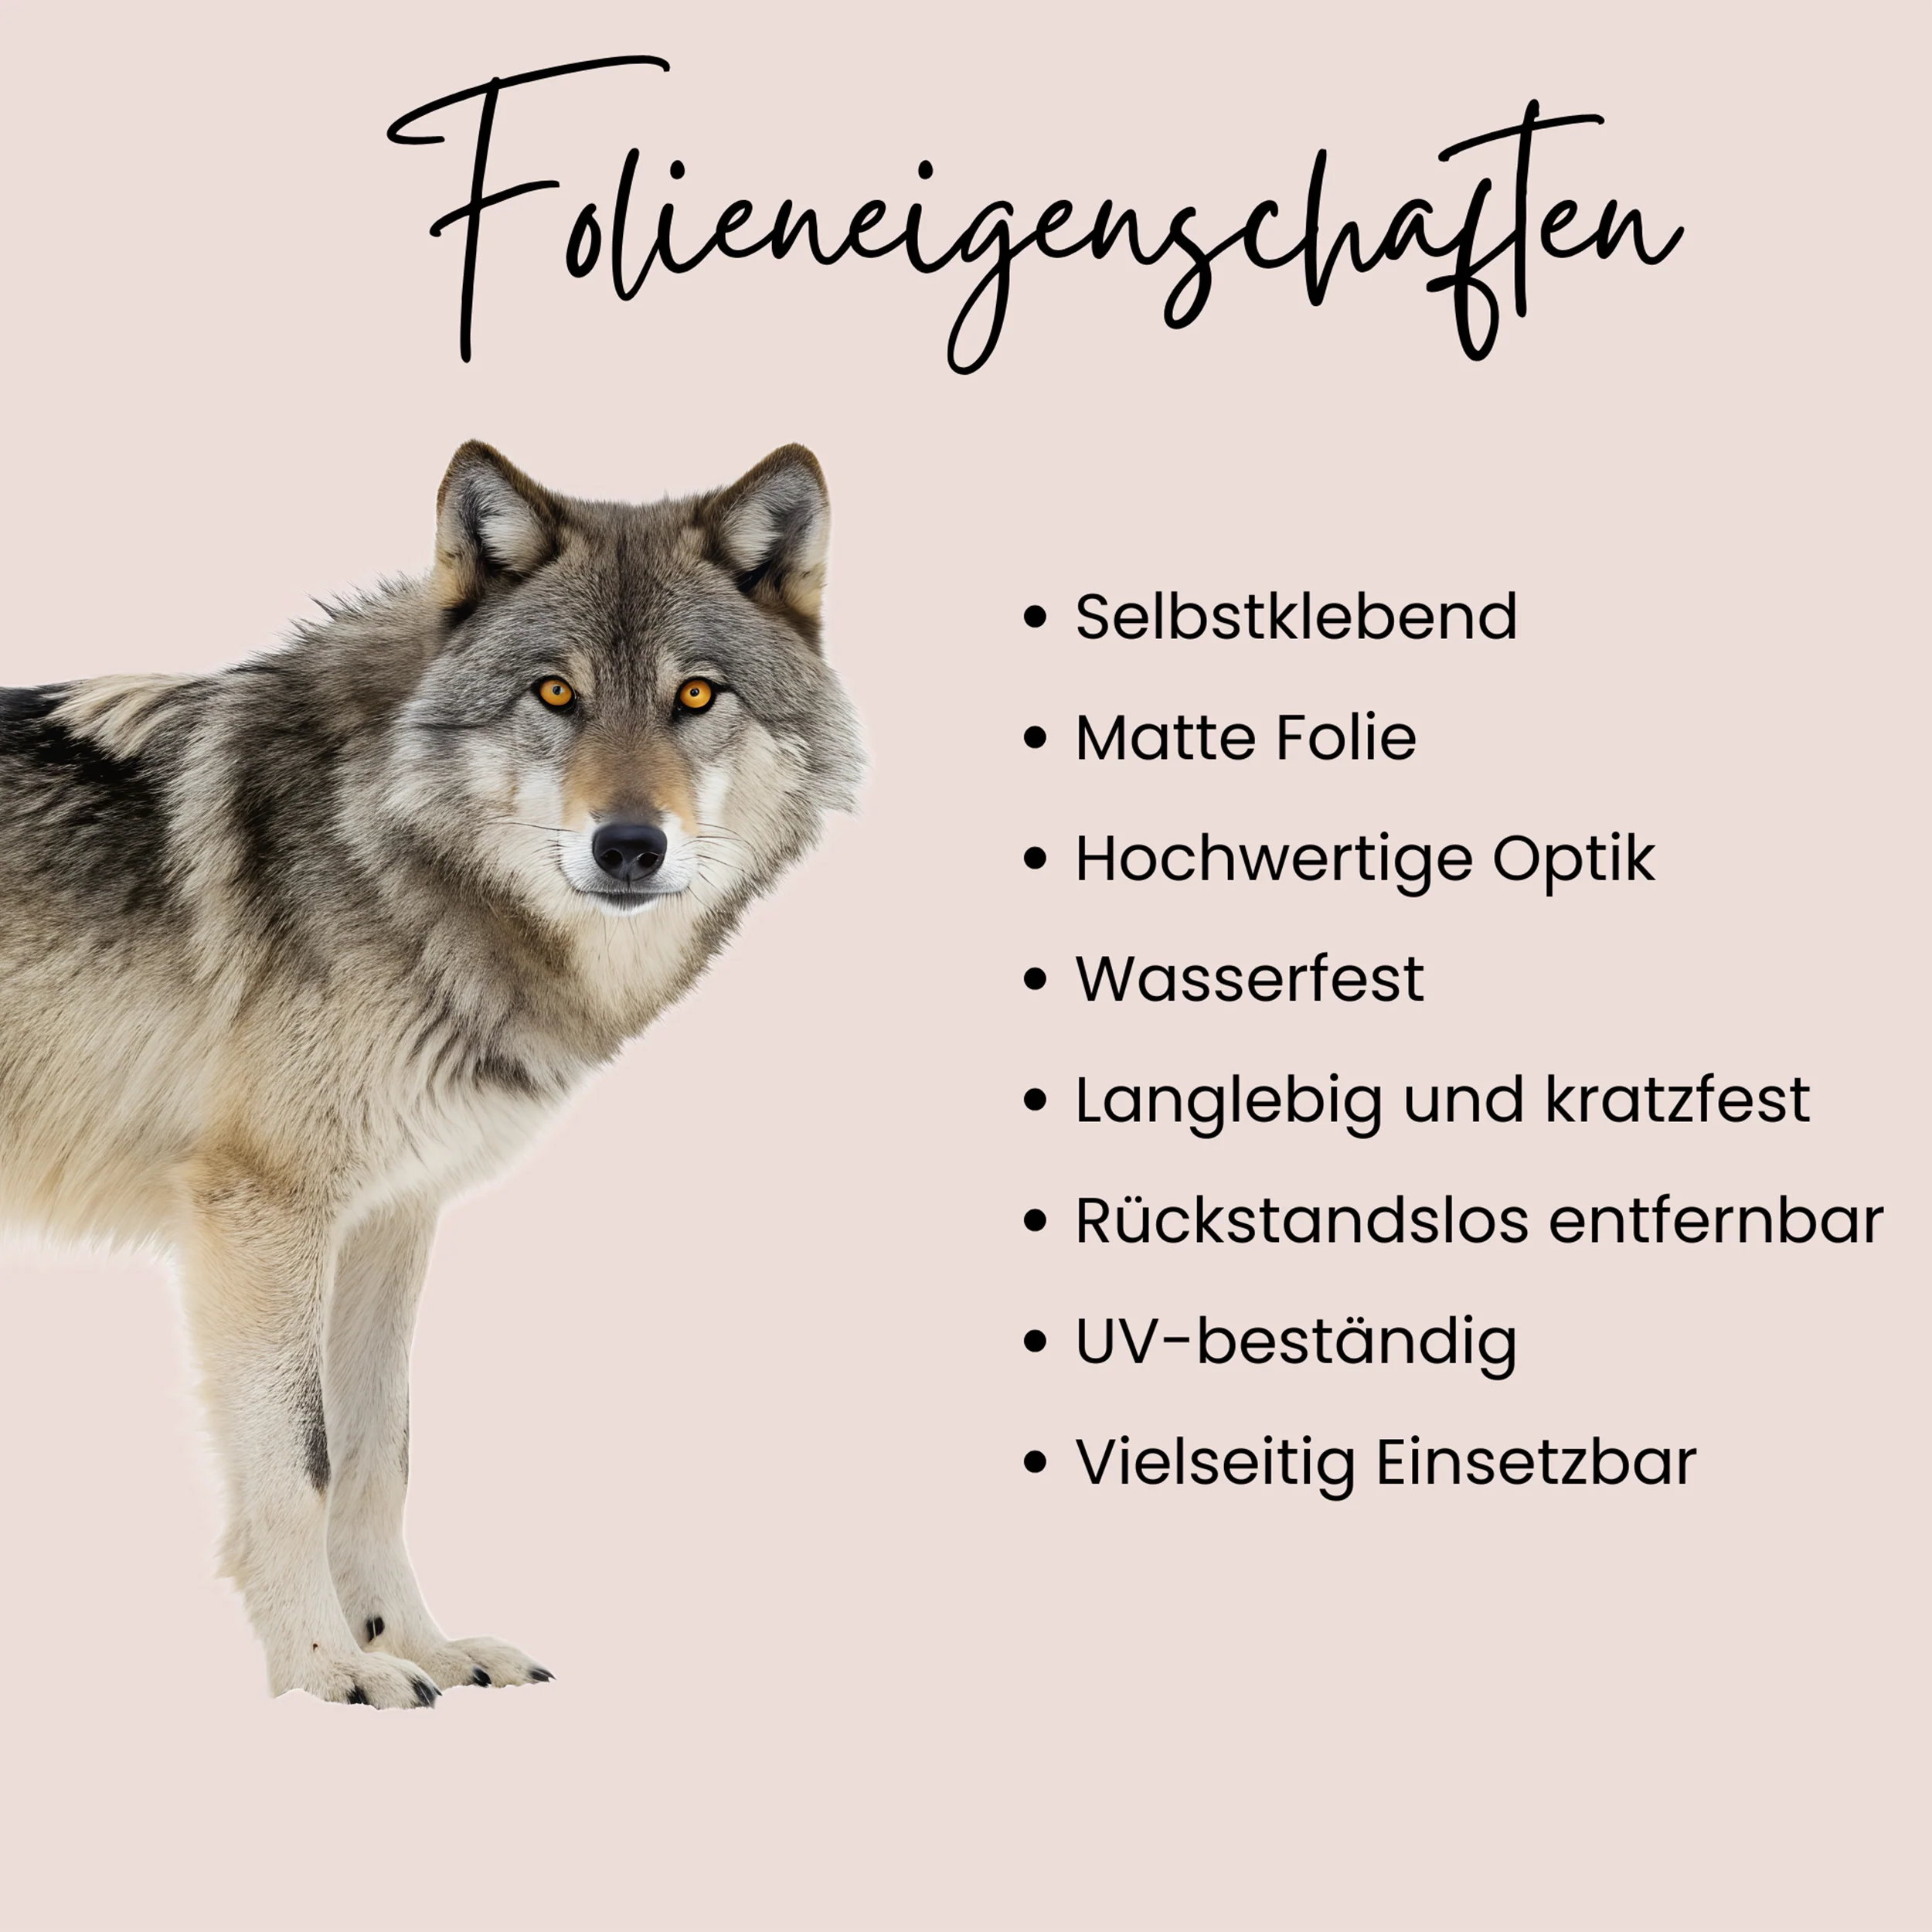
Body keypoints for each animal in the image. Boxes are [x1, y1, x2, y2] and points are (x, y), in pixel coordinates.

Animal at [0, 442, 862, 1705]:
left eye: (696, 696)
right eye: (554, 695)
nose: (629, 846)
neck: (388, 846)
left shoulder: (389, 1217)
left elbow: (378, 1454)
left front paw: (418, 1645)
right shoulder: (264, 1213)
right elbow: (300, 1462)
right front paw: (324, 1668)